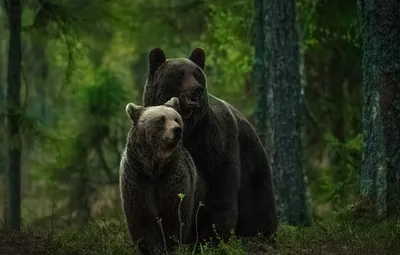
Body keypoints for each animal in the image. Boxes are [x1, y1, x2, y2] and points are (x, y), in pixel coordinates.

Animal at [119, 96, 205, 254]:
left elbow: (176, 215)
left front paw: (172, 244)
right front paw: (152, 248)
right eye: (161, 120)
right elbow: (143, 219)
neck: (155, 167)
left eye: (176, 119)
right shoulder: (137, 179)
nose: (177, 130)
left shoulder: (174, 178)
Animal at [143, 47, 278, 243]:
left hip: (253, 165)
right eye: (179, 74)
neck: (189, 127)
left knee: (259, 202)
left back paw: (261, 235)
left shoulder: (215, 141)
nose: (197, 89)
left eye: (197, 74)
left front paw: (212, 237)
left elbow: (220, 192)